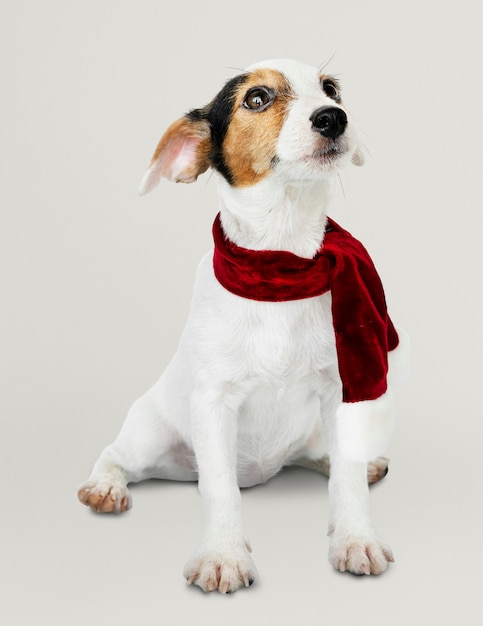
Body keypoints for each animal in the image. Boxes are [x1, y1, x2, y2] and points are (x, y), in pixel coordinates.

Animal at [78, 57, 408, 588]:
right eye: (256, 98)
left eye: (331, 89)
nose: (333, 117)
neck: (281, 264)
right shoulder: (214, 404)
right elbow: (219, 490)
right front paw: (223, 554)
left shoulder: (341, 391)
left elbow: (347, 480)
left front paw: (356, 538)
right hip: (148, 436)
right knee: (115, 455)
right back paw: (106, 486)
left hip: (311, 428)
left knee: (326, 457)